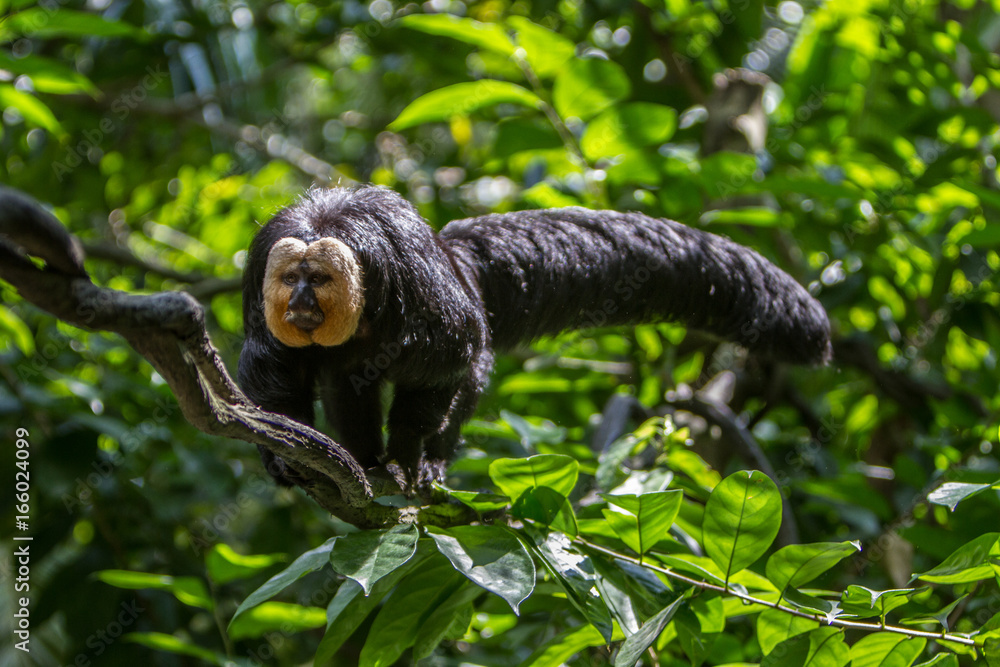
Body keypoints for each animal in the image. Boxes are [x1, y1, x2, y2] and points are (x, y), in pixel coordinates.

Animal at [237, 185, 831, 492]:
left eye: (318, 280)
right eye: (290, 279)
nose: (299, 303)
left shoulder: (416, 285)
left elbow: (445, 359)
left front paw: (408, 457)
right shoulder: (261, 272)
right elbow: (272, 372)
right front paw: (285, 453)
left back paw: (425, 461)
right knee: (346, 380)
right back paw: (360, 458)